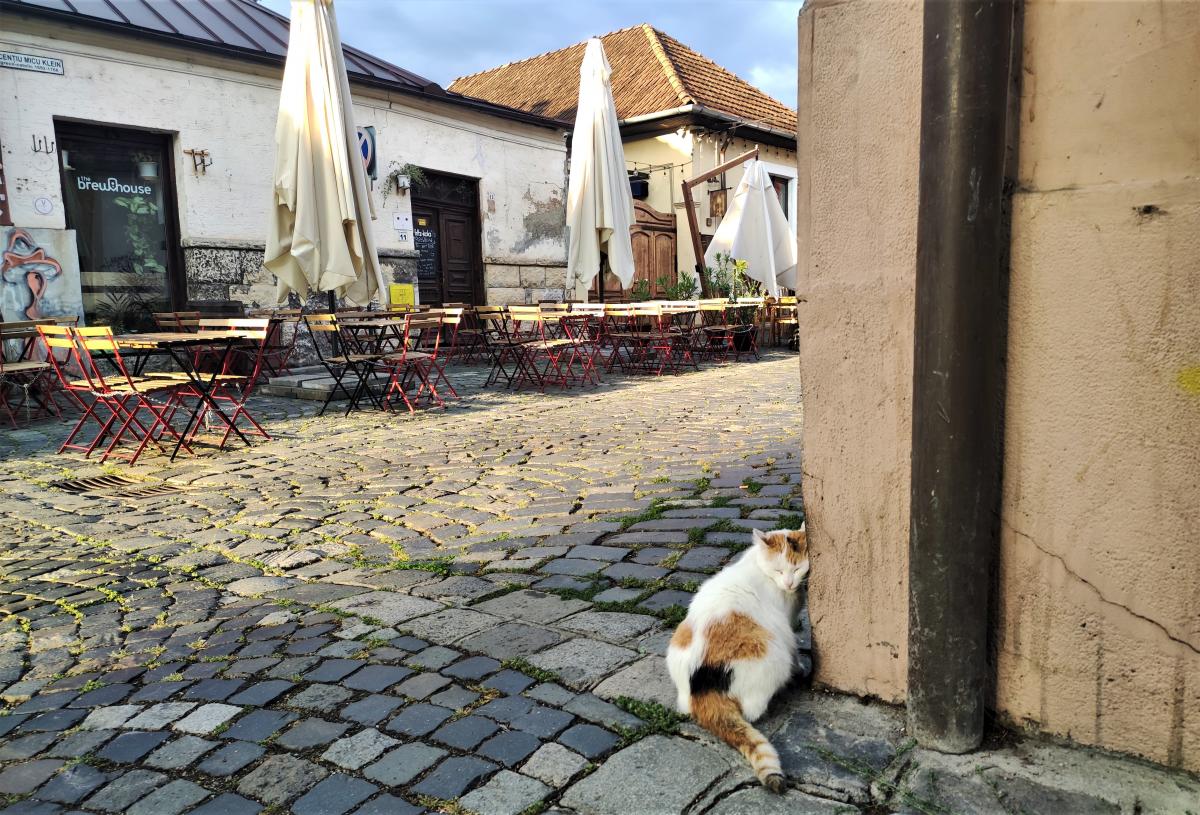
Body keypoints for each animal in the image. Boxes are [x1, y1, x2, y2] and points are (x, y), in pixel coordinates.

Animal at [667, 525, 806, 792]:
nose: (789, 582)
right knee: (753, 710)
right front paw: (802, 668)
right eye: (778, 570)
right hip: (773, 655)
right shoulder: (788, 627)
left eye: (797, 568)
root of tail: (702, 687)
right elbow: (796, 650)